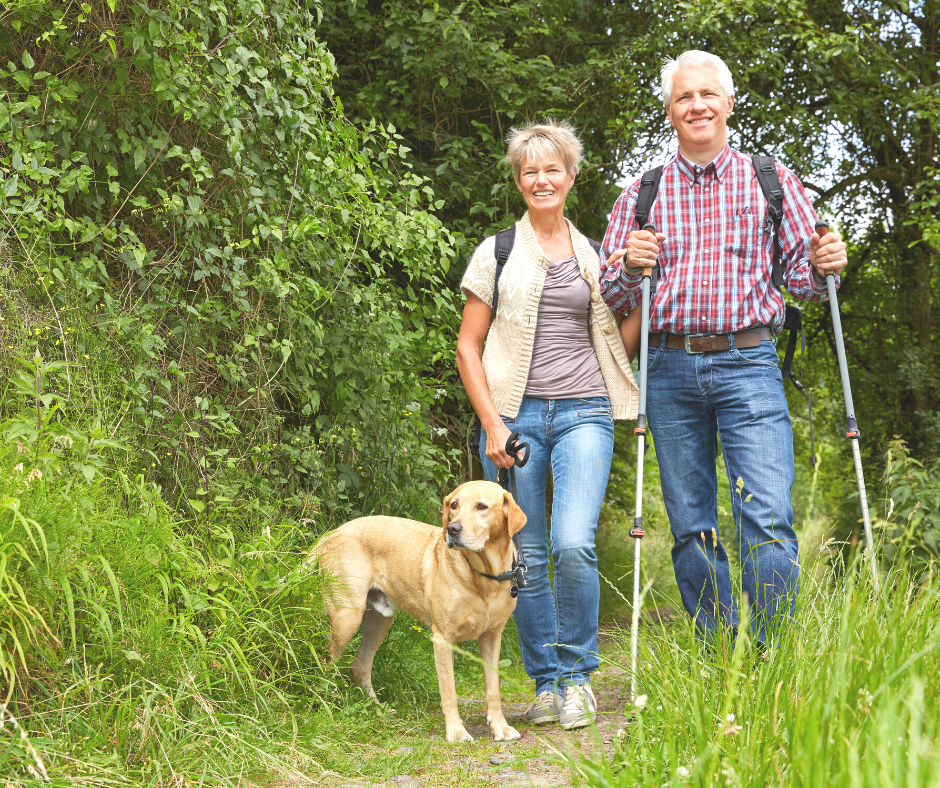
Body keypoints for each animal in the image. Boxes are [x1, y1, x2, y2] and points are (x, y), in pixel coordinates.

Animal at [312, 478, 524, 740]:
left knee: (359, 665)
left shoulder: (492, 636)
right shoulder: (443, 638)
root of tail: (332, 533)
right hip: (346, 618)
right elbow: (449, 691)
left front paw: (500, 727)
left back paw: (377, 708)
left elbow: (493, 689)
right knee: (326, 664)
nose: (453, 529)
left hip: (379, 621)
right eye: (454, 505)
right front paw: (456, 732)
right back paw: (330, 703)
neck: (484, 576)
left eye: (481, 506)